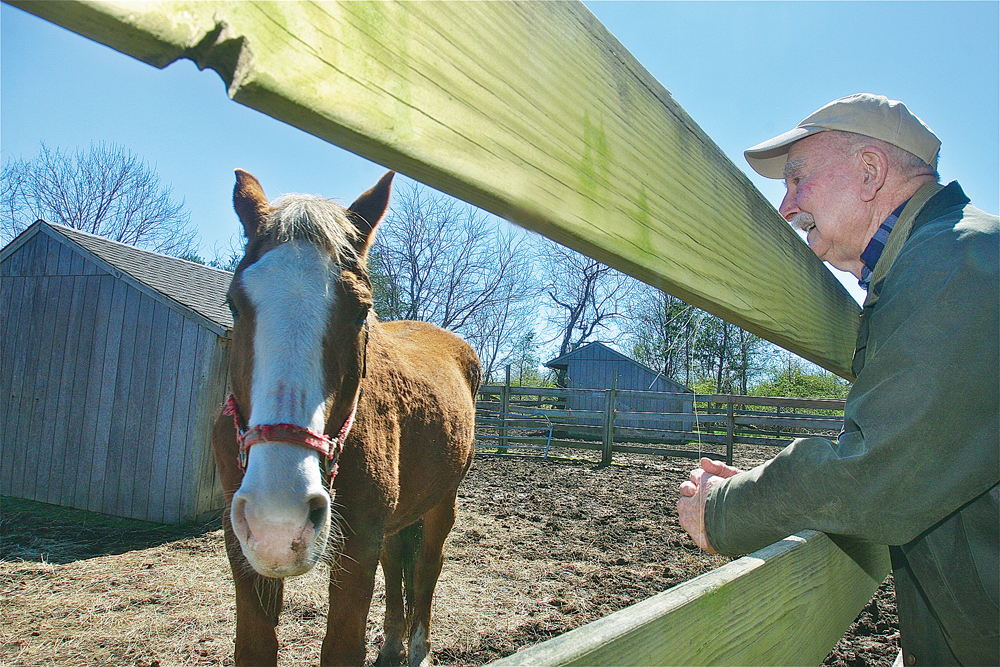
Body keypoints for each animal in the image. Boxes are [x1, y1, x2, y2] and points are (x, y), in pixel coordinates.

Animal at [211, 169, 481, 667]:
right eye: (234, 304)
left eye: (361, 311)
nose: (280, 518)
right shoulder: (240, 542)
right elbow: (254, 647)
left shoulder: (359, 543)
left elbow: (342, 646)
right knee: (397, 562)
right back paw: (392, 644)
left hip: (442, 502)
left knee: (427, 568)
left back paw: (418, 648)